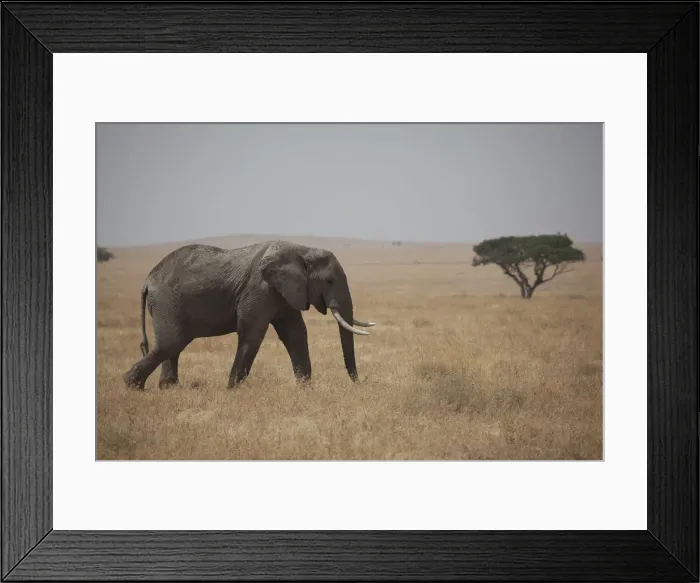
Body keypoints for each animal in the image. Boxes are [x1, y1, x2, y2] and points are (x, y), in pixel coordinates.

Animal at [122, 240, 376, 390]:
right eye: (329, 281)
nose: (359, 383)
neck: (300, 249)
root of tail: (147, 280)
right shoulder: (259, 289)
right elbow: (252, 334)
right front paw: (232, 391)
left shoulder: (284, 291)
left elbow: (295, 334)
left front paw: (305, 390)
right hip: (167, 303)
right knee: (171, 343)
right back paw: (132, 386)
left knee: (171, 346)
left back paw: (168, 389)